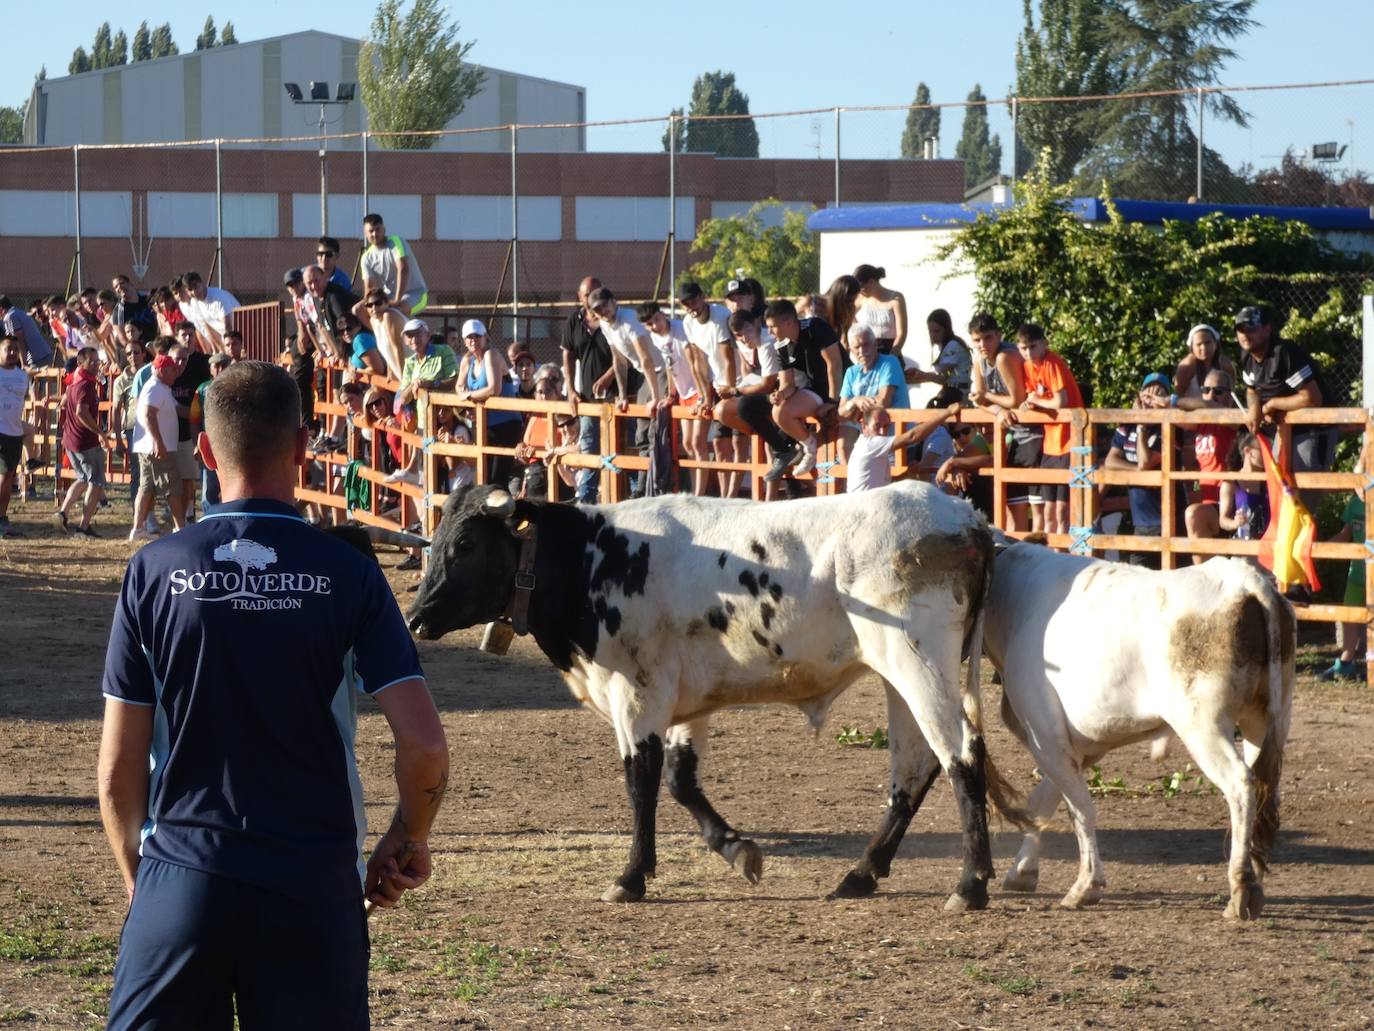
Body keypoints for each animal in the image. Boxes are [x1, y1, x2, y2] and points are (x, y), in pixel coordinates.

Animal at [401, 483, 1027, 912]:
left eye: (466, 544)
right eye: (436, 540)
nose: (416, 617)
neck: (592, 558)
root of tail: (965, 517)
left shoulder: (638, 694)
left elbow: (641, 779)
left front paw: (631, 876)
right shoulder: (682, 699)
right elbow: (681, 781)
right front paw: (737, 849)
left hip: (919, 664)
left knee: (961, 756)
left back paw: (970, 884)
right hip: (900, 676)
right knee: (916, 769)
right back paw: (862, 873)